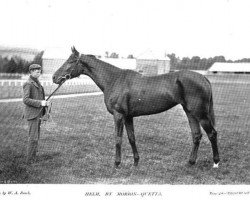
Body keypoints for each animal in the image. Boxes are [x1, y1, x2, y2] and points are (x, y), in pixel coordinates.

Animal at [52, 47, 219, 168]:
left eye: (70, 61)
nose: (54, 77)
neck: (114, 79)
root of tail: (203, 78)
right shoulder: (128, 117)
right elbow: (132, 138)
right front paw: (136, 162)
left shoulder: (118, 115)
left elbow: (118, 139)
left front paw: (117, 163)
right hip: (190, 112)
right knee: (196, 135)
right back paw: (190, 162)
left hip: (200, 114)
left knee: (212, 134)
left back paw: (216, 163)